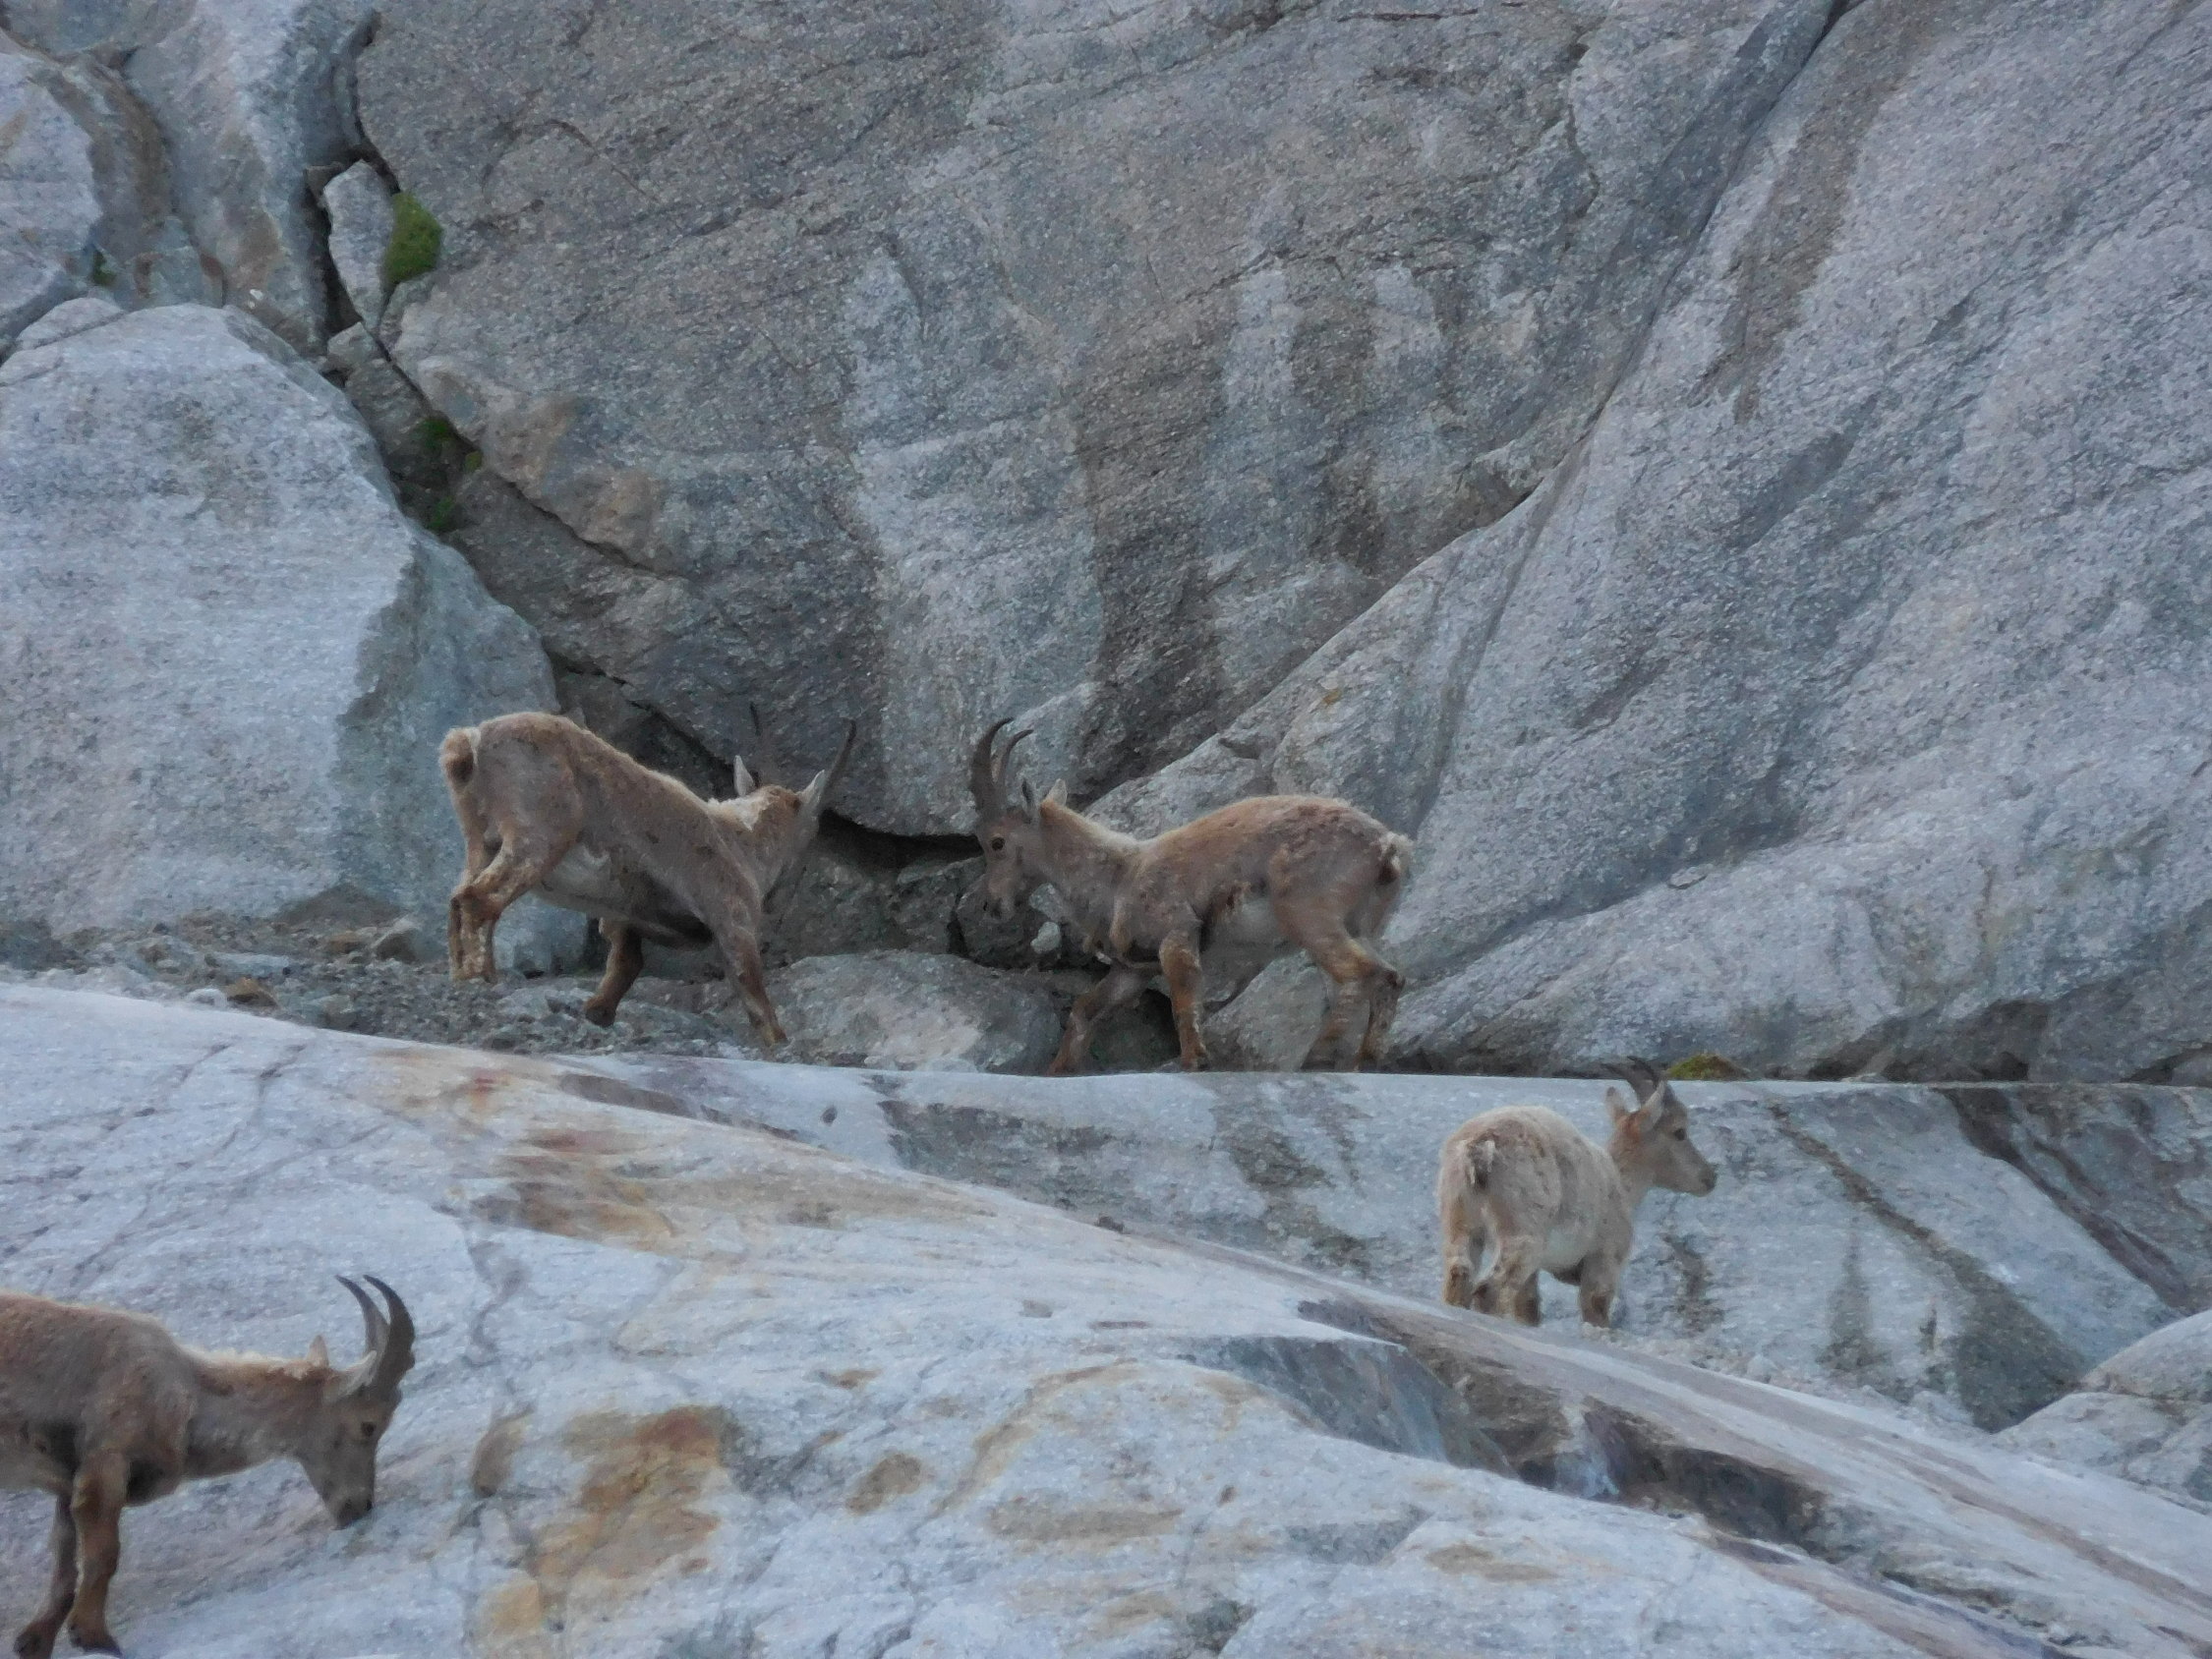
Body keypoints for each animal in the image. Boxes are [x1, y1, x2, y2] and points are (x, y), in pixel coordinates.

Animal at [0, 1277, 414, 1659]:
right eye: (368, 1425)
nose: (360, 1506)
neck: (188, 1395)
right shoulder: (107, 1458)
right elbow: (103, 1554)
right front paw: (95, 1637)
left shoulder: (69, 1479)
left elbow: (64, 1559)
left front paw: (35, 1641)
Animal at [442, 710, 854, 1041]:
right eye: (815, 829)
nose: (784, 893)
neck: (743, 841)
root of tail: (472, 742)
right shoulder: (730, 916)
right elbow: (754, 994)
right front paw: (778, 1040)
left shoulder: (626, 918)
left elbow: (626, 964)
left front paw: (598, 1011)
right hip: (541, 833)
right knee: (479, 899)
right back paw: (481, 977)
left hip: (480, 839)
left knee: (459, 897)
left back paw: (464, 973)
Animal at [968, 720, 1413, 1073]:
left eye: (996, 842)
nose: (989, 906)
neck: (1117, 876)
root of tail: (1386, 847)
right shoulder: (1133, 970)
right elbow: (1084, 1010)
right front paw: (1058, 1071)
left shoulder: (1177, 932)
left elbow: (1183, 1000)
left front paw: (1195, 1060)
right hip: (1358, 925)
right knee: (1388, 976)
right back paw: (1366, 1061)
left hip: (1308, 914)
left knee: (1357, 974)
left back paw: (1318, 1058)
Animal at [1436, 1061, 1717, 1327]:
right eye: (1679, 1132)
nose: (1710, 1177)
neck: (1621, 1183)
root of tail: (1480, 1146)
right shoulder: (1604, 1259)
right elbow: (1595, 1307)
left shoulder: (1536, 1271)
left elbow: (1528, 1308)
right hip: (1523, 1231)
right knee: (1488, 1290)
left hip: (1461, 1220)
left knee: (1459, 1273)